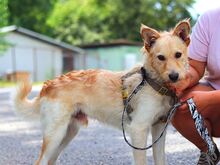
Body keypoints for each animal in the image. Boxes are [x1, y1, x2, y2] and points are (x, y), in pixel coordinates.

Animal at [13, 19, 190, 165]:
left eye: (178, 54)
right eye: (161, 57)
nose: (174, 76)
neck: (153, 82)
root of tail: (49, 84)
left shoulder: (159, 129)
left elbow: (160, 159)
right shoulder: (138, 130)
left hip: (68, 132)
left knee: (50, 161)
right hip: (56, 134)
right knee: (41, 161)